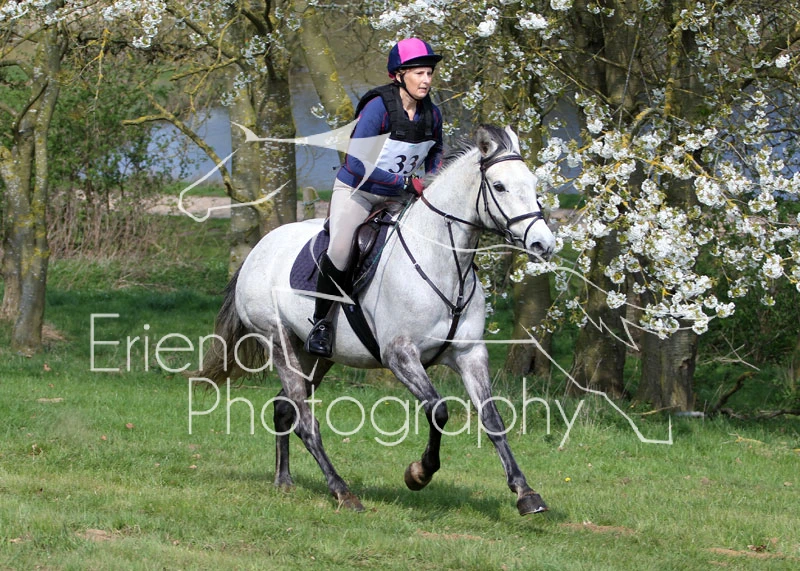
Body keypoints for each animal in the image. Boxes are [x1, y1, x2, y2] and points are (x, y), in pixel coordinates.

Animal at [201, 125, 556, 515]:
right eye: (499, 186)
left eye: (533, 184)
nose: (543, 244)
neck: (442, 260)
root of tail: (257, 251)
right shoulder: (399, 355)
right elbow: (438, 410)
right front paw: (418, 474)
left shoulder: (469, 353)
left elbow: (492, 419)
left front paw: (526, 493)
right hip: (278, 341)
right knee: (305, 420)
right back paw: (342, 491)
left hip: (316, 355)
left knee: (285, 406)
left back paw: (284, 480)